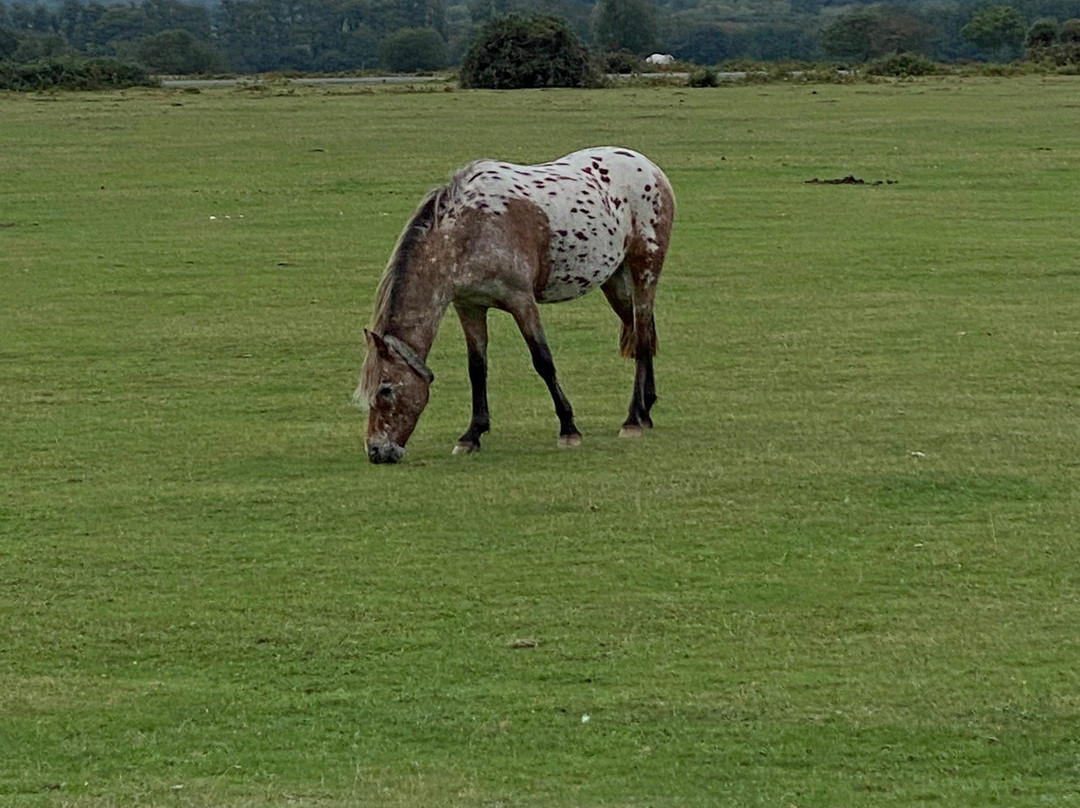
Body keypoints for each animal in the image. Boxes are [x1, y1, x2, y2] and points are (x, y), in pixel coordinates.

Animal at [354, 144, 673, 460]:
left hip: (644, 271)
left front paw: (569, 428)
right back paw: (646, 409)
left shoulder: (521, 301)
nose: (377, 452)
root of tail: (651, 169)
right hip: (615, 281)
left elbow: (543, 361)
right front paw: (472, 434)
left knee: (642, 336)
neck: (466, 232)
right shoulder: (469, 306)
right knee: (639, 331)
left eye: (385, 390)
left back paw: (633, 419)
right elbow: (477, 368)